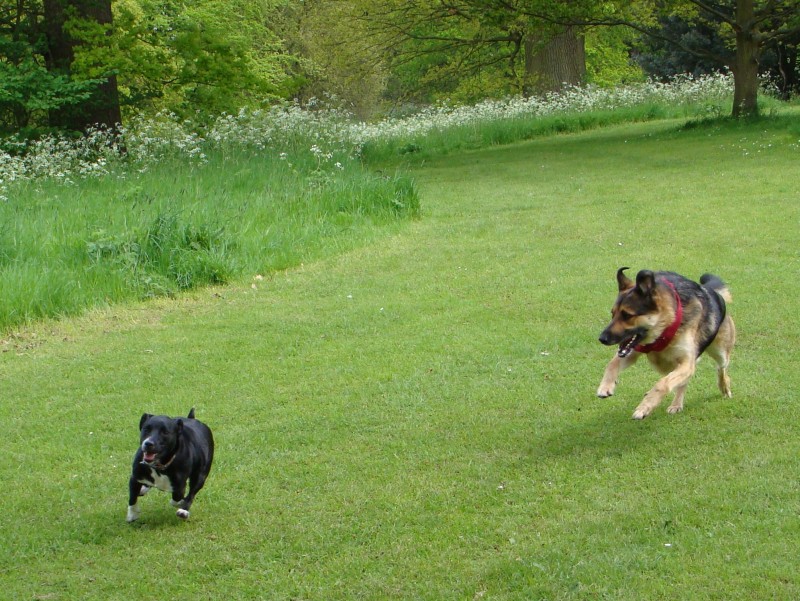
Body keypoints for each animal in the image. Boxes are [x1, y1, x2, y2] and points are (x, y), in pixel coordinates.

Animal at [596, 266, 736, 418]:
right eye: (613, 314)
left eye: (627, 315)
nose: (602, 338)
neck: (665, 327)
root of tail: (710, 290)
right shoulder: (634, 351)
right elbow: (612, 364)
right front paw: (605, 386)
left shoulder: (686, 362)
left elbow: (662, 384)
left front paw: (645, 406)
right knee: (683, 382)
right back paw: (676, 404)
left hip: (720, 351)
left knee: (721, 368)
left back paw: (724, 387)